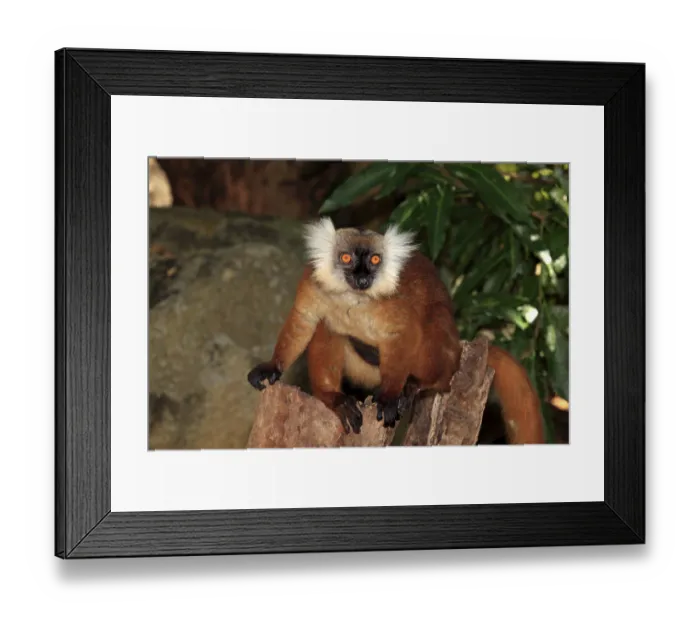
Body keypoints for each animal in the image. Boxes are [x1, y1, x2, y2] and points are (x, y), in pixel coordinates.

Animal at [247, 217, 545, 444]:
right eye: (346, 257)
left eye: (375, 260)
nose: (363, 278)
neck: (355, 297)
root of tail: (459, 350)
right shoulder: (312, 282)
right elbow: (305, 321)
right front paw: (272, 366)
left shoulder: (393, 303)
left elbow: (404, 334)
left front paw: (391, 396)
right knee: (328, 327)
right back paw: (333, 397)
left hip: (440, 354)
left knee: (434, 324)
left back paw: (423, 383)